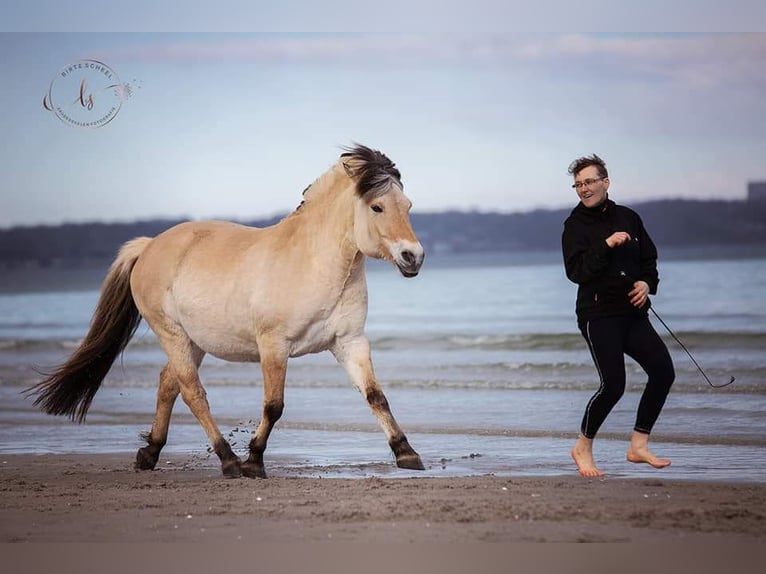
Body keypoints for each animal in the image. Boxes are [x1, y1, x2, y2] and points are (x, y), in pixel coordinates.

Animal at [28, 146, 426, 480]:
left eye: (407, 206)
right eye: (376, 207)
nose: (413, 257)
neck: (315, 264)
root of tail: (150, 245)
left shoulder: (350, 342)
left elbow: (375, 395)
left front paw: (407, 453)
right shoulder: (273, 346)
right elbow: (273, 406)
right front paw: (254, 461)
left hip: (194, 341)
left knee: (168, 384)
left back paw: (150, 454)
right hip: (172, 333)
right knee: (192, 392)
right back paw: (228, 460)